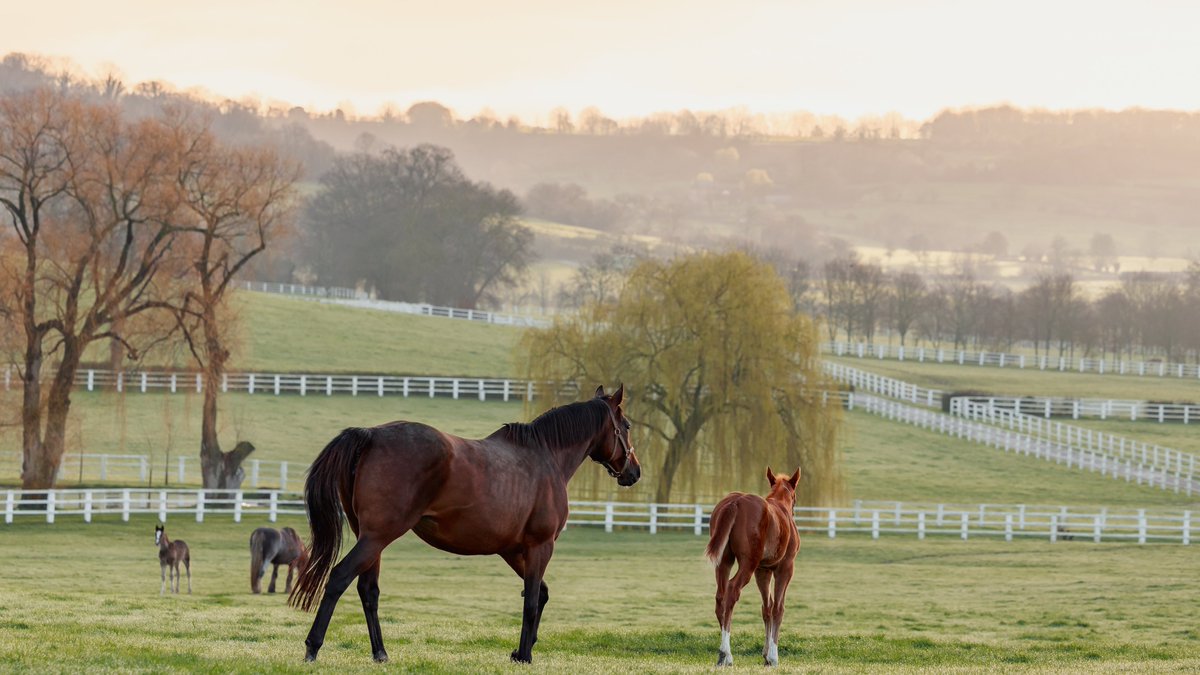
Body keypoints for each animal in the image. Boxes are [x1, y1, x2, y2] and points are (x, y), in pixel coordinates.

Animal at [289, 384, 640, 664]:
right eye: (627, 425)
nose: (634, 472)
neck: (546, 456)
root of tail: (371, 435)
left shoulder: (513, 550)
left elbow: (539, 593)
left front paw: (521, 650)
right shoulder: (540, 545)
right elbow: (531, 600)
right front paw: (525, 656)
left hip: (371, 538)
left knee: (368, 590)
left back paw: (380, 654)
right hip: (378, 536)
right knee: (339, 578)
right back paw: (312, 648)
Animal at [705, 467, 801, 667]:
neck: (780, 507)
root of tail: (735, 502)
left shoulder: (762, 571)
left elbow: (767, 608)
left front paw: (765, 654)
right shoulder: (785, 569)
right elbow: (778, 608)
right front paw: (773, 656)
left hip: (724, 561)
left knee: (720, 597)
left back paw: (724, 654)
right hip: (747, 564)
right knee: (732, 591)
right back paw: (726, 654)